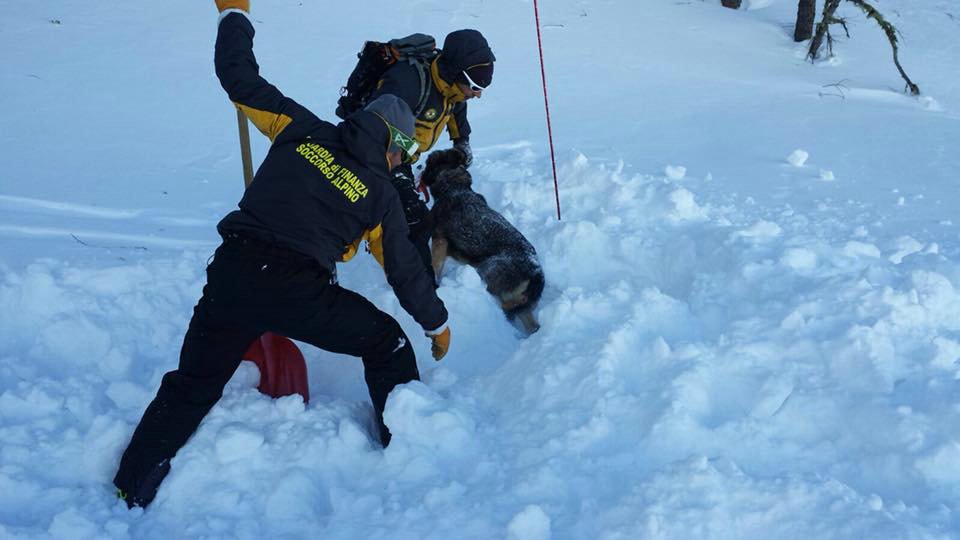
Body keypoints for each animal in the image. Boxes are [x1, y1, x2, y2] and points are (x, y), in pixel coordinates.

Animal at [422, 149, 548, 334]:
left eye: (428, 165)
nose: (419, 170)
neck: (454, 186)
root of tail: (537, 275)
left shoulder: (439, 240)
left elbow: (435, 266)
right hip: (520, 303)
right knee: (531, 323)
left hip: (486, 270)